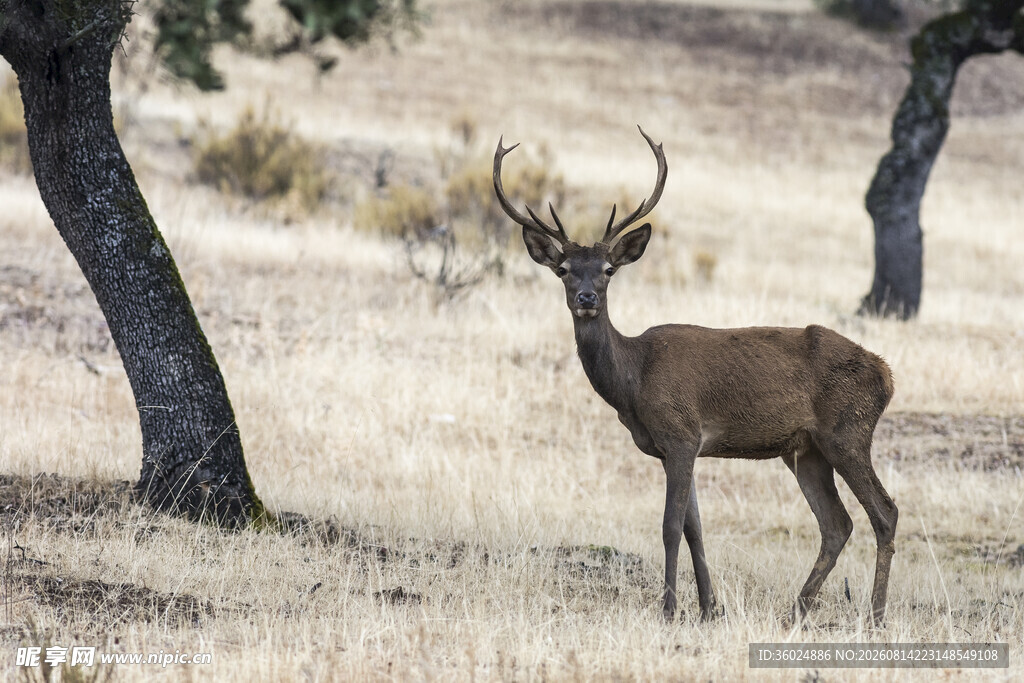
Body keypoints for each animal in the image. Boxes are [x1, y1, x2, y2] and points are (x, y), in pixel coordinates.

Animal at [493, 127, 898, 626]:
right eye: (564, 270)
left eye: (608, 270)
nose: (587, 298)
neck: (634, 382)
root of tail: (887, 375)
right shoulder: (672, 446)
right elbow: (694, 529)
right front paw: (709, 608)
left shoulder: (681, 432)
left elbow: (670, 526)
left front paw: (669, 608)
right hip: (806, 450)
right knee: (837, 524)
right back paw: (796, 611)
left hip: (848, 431)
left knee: (884, 512)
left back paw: (875, 615)